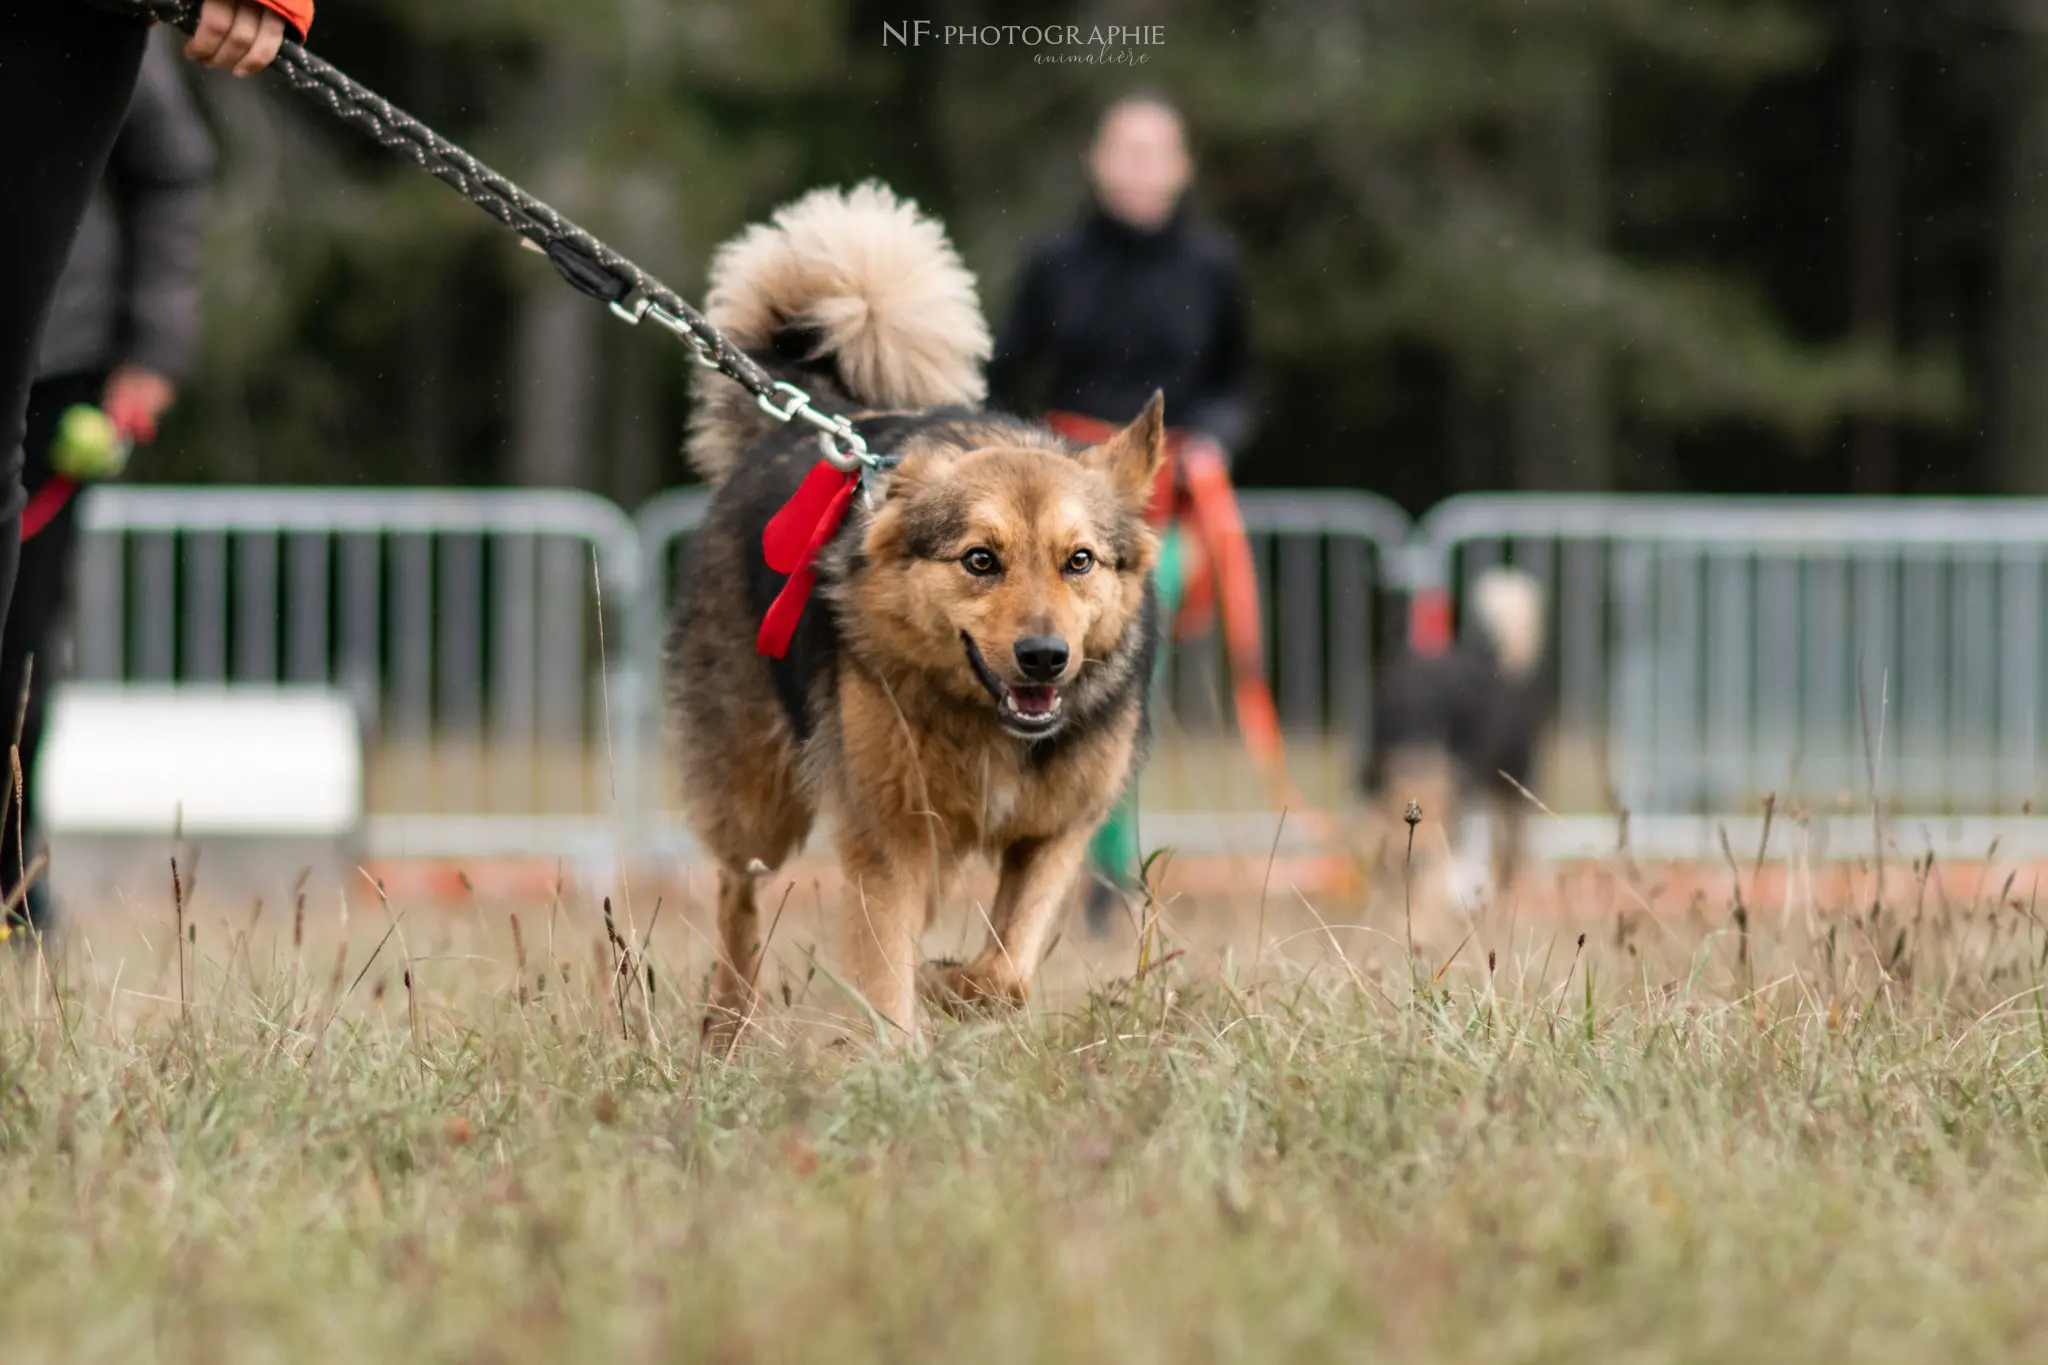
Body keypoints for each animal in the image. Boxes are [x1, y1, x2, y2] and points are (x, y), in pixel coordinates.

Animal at [663, 184, 1163, 1047]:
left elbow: (1007, 969)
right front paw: (901, 1047)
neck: (990, 725)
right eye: (980, 560)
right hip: (759, 799)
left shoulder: (1058, 831)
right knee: (737, 891)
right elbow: (884, 967)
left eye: (1079, 560)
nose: (1044, 656)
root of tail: (804, 423)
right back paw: (727, 1023)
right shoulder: (888, 836)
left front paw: (953, 987)